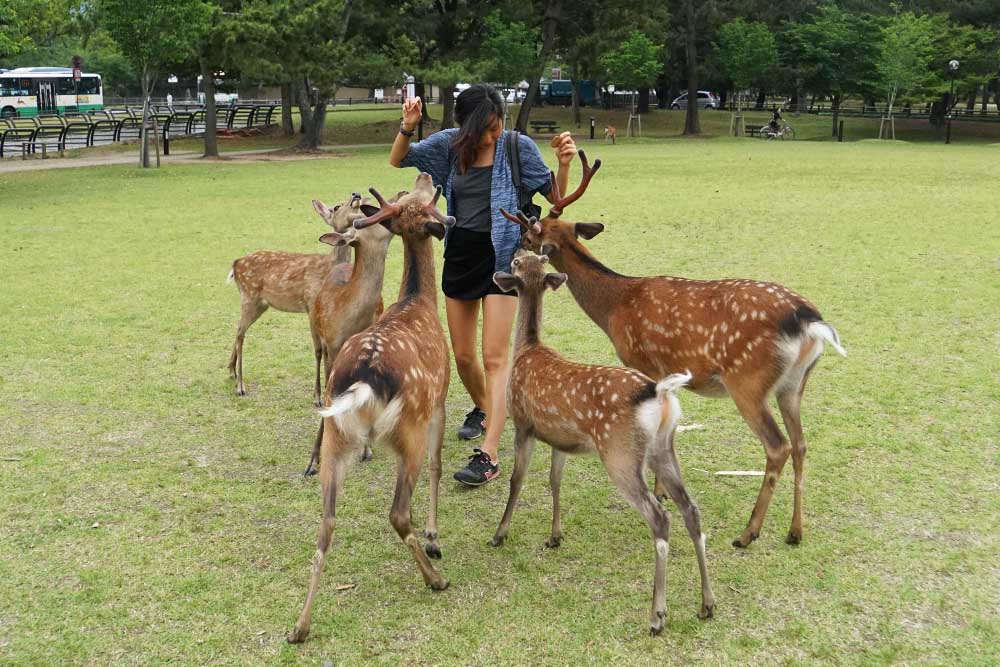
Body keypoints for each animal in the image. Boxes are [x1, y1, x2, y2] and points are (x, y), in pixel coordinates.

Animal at [229, 190, 384, 404]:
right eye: (336, 207)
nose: (356, 194)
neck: (327, 267)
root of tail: (235, 264)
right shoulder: (311, 304)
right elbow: (319, 351)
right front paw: (318, 395)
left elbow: (325, 350)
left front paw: (322, 390)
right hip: (249, 297)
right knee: (240, 333)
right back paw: (240, 386)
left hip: (259, 303)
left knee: (237, 329)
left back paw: (231, 372)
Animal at [288, 174, 456, 648]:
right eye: (419, 199)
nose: (425, 176)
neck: (418, 300)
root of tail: (363, 379)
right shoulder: (439, 397)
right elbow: (438, 465)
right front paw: (435, 535)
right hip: (408, 429)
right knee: (398, 511)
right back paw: (435, 578)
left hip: (337, 437)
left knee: (325, 522)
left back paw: (300, 626)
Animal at [488, 250, 716, 636]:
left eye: (522, 262)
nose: (515, 253)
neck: (527, 349)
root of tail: (659, 392)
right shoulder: (560, 439)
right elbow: (555, 481)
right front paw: (554, 536)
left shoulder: (523, 423)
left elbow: (517, 480)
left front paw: (499, 534)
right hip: (664, 448)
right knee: (691, 508)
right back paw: (707, 604)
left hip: (620, 454)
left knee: (660, 517)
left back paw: (657, 616)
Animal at [500, 149, 844, 552]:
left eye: (528, 233)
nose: (513, 249)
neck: (614, 306)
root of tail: (809, 321)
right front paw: (664, 487)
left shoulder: (644, 362)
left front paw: (661, 489)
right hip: (794, 384)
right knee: (802, 444)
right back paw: (795, 531)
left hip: (748, 381)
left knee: (778, 446)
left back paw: (748, 533)